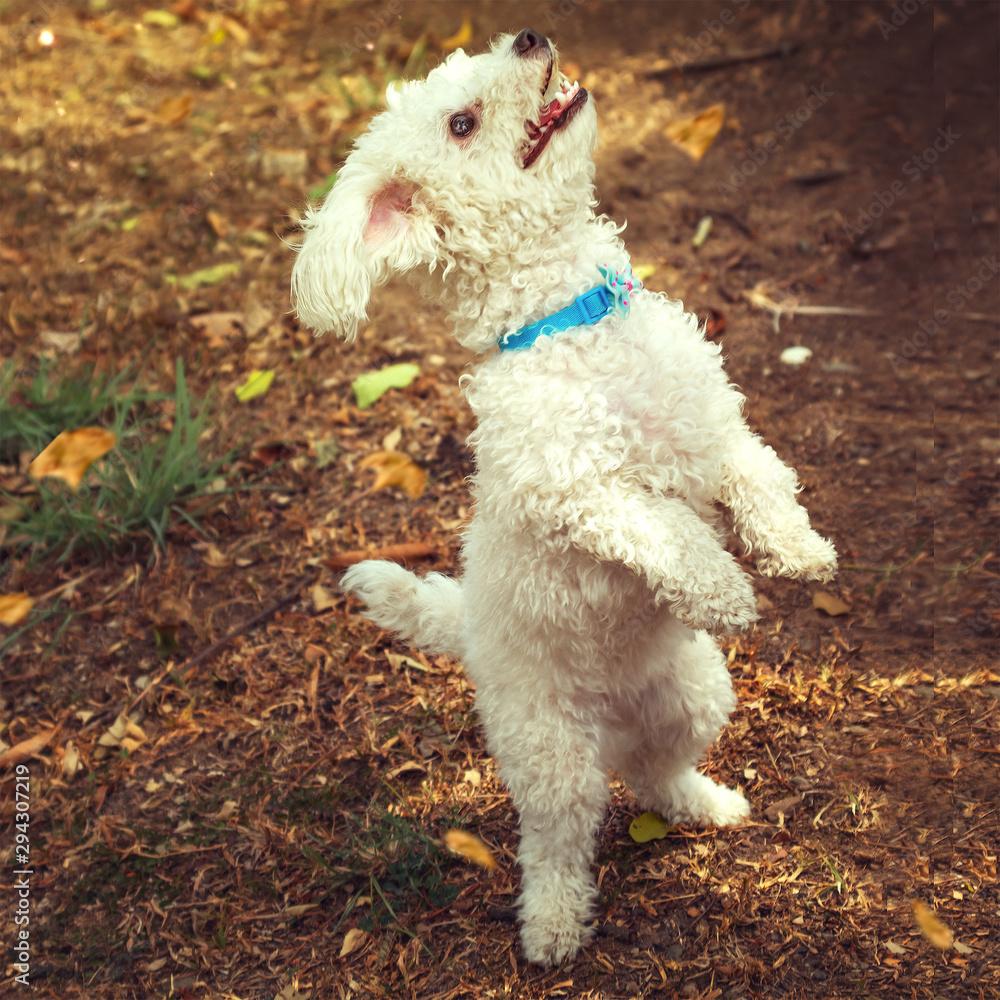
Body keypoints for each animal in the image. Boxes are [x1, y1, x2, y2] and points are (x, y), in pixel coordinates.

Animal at [292, 29, 836, 968]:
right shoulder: (578, 489)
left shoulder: (715, 431)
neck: (577, 321)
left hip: (695, 694)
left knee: (655, 772)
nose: (530, 37)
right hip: (548, 753)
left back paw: (705, 804)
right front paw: (723, 589)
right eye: (463, 122)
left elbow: (760, 476)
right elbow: (661, 528)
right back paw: (550, 925)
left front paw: (797, 550)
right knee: (558, 839)